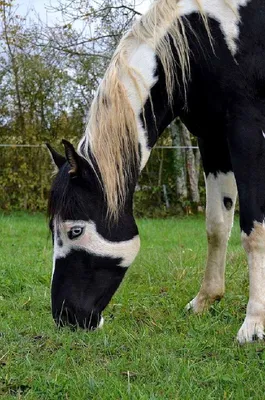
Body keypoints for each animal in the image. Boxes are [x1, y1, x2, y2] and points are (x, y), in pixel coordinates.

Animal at [46, 0, 264, 344]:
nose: (65, 318)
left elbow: (253, 230)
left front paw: (254, 323)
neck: (207, 36)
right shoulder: (212, 139)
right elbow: (216, 225)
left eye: (75, 230)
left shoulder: (246, 130)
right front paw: (205, 300)